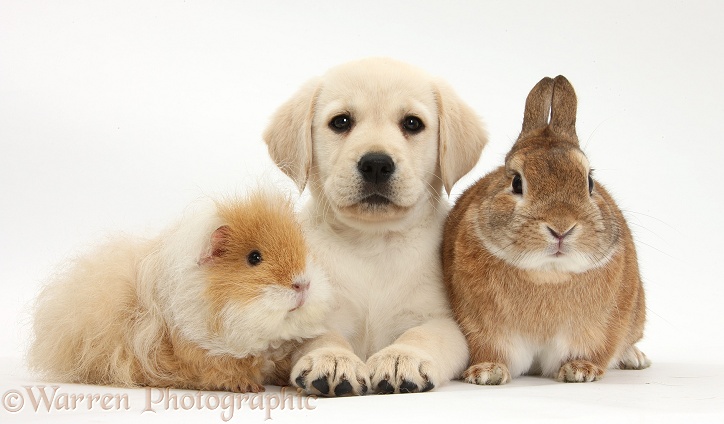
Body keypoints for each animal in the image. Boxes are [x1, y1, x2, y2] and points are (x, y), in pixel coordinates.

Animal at [262, 57, 486, 394]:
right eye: (341, 122)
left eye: (412, 123)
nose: (377, 164)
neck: (373, 242)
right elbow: (321, 336)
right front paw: (333, 358)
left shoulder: (443, 319)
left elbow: (423, 335)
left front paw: (401, 357)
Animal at [442, 76, 652, 384]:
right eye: (517, 182)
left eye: (589, 182)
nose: (561, 227)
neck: (548, 274)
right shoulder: (486, 330)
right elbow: (491, 351)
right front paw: (488, 372)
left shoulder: (597, 331)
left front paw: (580, 370)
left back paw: (635, 358)